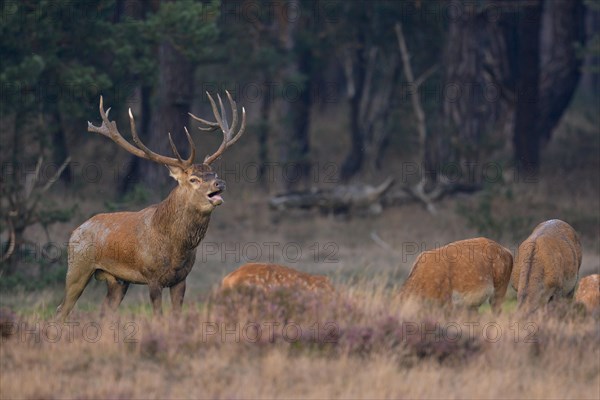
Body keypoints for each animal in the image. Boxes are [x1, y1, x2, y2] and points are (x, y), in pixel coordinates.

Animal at [55, 92, 245, 320]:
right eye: (193, 179)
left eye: (213, 173)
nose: (220, 183)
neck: (177, 248)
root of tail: (75, 230)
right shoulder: (153, 277)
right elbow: (158, 316)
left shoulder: (181, 279)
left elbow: (176, 316)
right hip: (77, 267)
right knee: (61, 309)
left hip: (118, 280)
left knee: (104, 311)